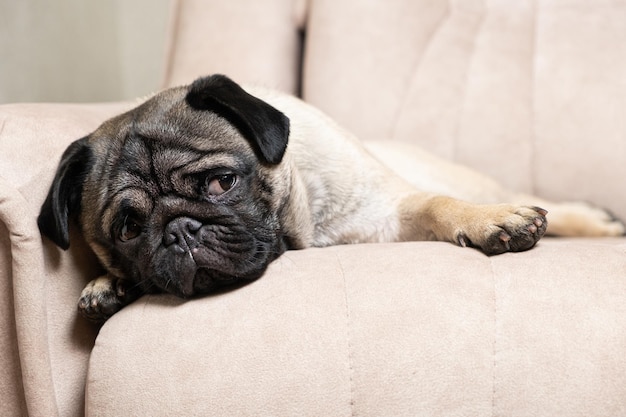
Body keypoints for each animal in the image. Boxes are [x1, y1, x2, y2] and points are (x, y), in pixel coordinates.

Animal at [35, 74, 624, 322]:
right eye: (129, 229)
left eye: (222, 183)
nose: (181, 230)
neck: (305, 229)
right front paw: (106, 284)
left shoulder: (391, 210)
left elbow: (438, 204)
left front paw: (491, 222)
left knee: (538, 202)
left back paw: (595, 220)